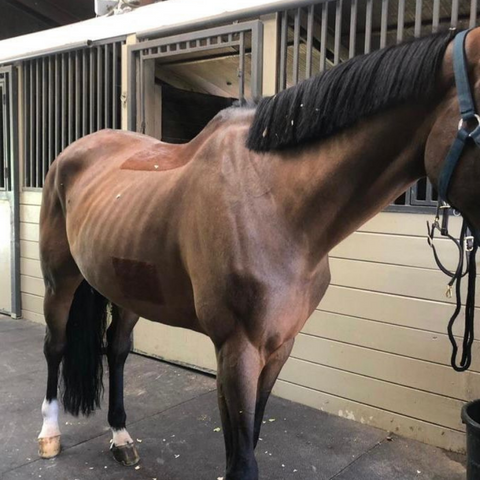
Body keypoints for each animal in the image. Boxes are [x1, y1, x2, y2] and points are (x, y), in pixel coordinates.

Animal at [37, 27, 480, 480]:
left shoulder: (279, 345)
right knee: (55, 346)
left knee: (117, 349)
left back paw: (121, 437)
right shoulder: (238, 349)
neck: (279, 206)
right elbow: (242, 459)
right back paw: (49, 434)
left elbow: (249, 438)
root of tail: (71, 155)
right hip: (60, 281)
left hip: (127, 286)